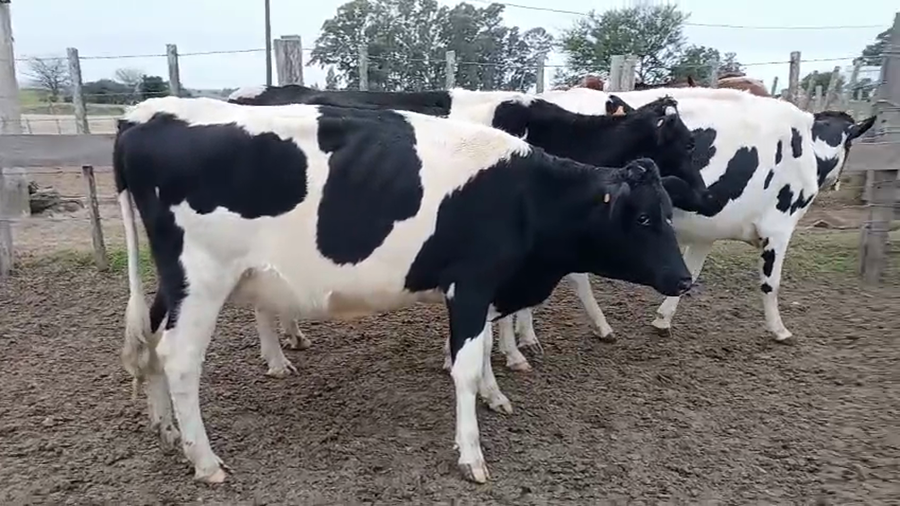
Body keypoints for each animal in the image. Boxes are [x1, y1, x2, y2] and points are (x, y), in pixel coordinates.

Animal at [226, 86, 708, 372]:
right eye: (689, 142)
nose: (704, 195)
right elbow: (567, 281)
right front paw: (515, 351)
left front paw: (526, 339)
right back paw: (276, 359)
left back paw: (293, 335)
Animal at [498, 86, 876, 369]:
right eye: (851, 145)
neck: (807, 147)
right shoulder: (780, 226)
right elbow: (771, 284)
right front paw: (779, 330)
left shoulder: (707, 232)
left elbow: (689, 275)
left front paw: (662, 320)